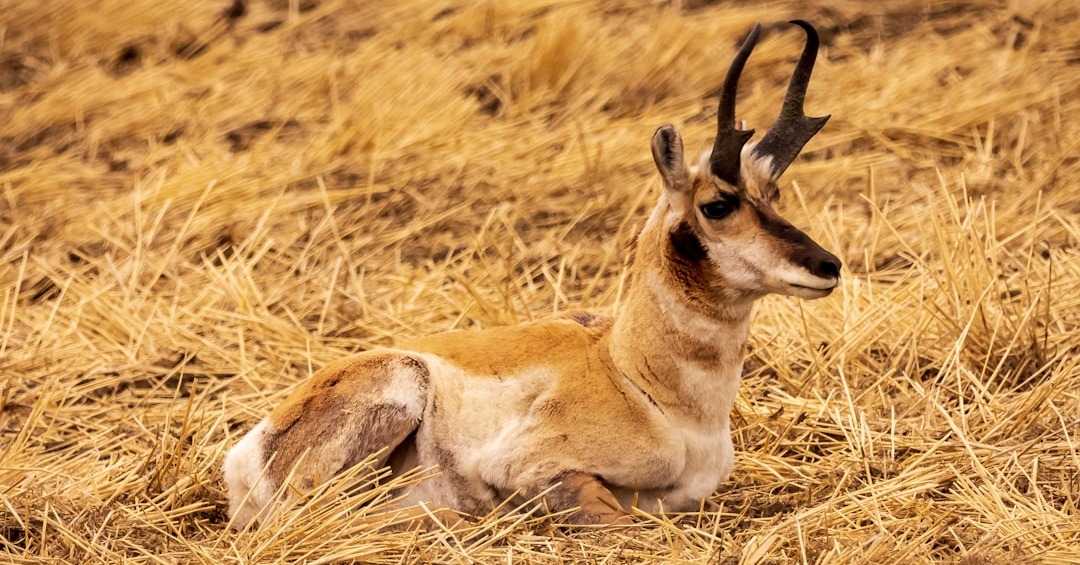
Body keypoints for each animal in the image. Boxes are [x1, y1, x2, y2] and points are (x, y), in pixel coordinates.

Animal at [223, 20, 841, 529]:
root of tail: (247, 451)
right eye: (717, 205)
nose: (828, 265)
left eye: (773, 194)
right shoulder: (537, 472)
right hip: (398, 389)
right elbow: (610, 514)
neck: (633, 374)